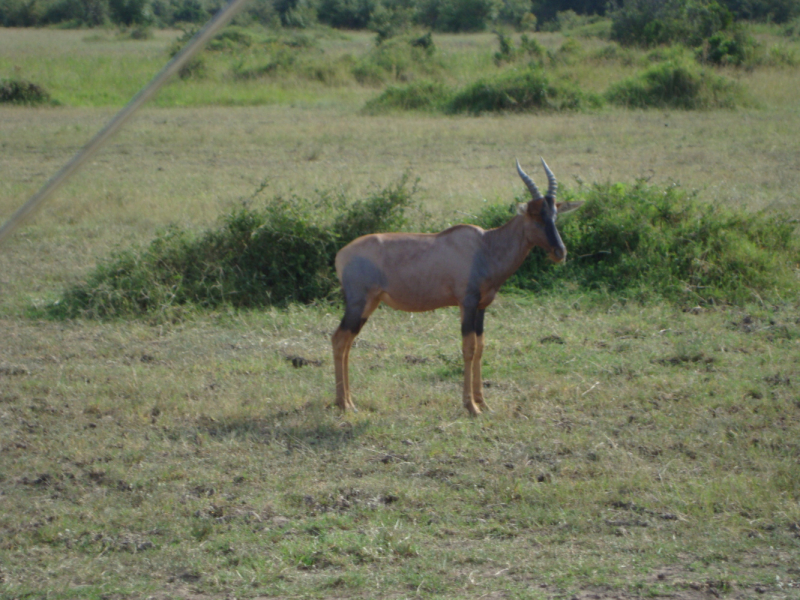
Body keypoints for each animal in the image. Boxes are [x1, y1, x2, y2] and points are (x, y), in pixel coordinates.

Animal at [330, 157, 580, 414]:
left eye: (554, 215)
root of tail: (341, 255)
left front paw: (483, 403)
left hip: (369, 304)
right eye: (535, 215)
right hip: (358, 303)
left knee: (347, 342)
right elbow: (468, 348)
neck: (485, 245)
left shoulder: (481, 306)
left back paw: (348, 402)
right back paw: (344, 403)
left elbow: (480, 347)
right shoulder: (466, 303)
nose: (560, 252)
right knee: (339, 339)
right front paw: (471, 407)